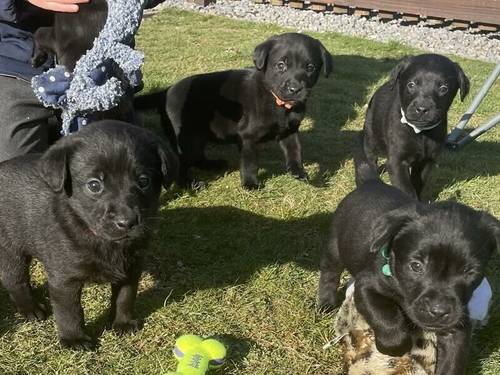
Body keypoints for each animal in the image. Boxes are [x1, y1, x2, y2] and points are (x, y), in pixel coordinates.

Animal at [0, 119, 178, 350]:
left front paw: (122, 322)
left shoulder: (131, 267)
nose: (127, 222)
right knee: (14, 280)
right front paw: (74, 338)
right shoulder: (64, 279)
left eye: (144, 181)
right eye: (94, 185)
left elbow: (125, 297)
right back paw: (30, 308)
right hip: (10, 249)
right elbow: (69, 311)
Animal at [135, 32, 334, 189]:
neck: (278, 103)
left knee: (197, 157)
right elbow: (250, 162)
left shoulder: (290, 131)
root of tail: (166, 92)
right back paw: (190, 184)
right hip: (186, 137)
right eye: (281, 65)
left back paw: (213, 164)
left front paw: (299, 173)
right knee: (182, 163)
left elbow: (295, 152)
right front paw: (250, 184)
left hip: (197, 136)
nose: (295, 89)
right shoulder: (248, 137)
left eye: (310, 67)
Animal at [318, 154, 498, 374]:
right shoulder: (367, 285)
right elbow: (384, 316)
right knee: (329, 272)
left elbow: (453, 361)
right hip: (335, 245)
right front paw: (394, 346)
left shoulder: (457, 323)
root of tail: (371, 182)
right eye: (416, 266)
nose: (438, 311)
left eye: (470, 272)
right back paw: (325, 303)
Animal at [362, 54, 470, 200]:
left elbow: (418, 183)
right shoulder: (397, 161)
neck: (420, 132)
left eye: (443, 88)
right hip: (371, 135)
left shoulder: (426, 161)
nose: (422, 109)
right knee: (370, 157)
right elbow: (406, 189)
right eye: (411, 85)